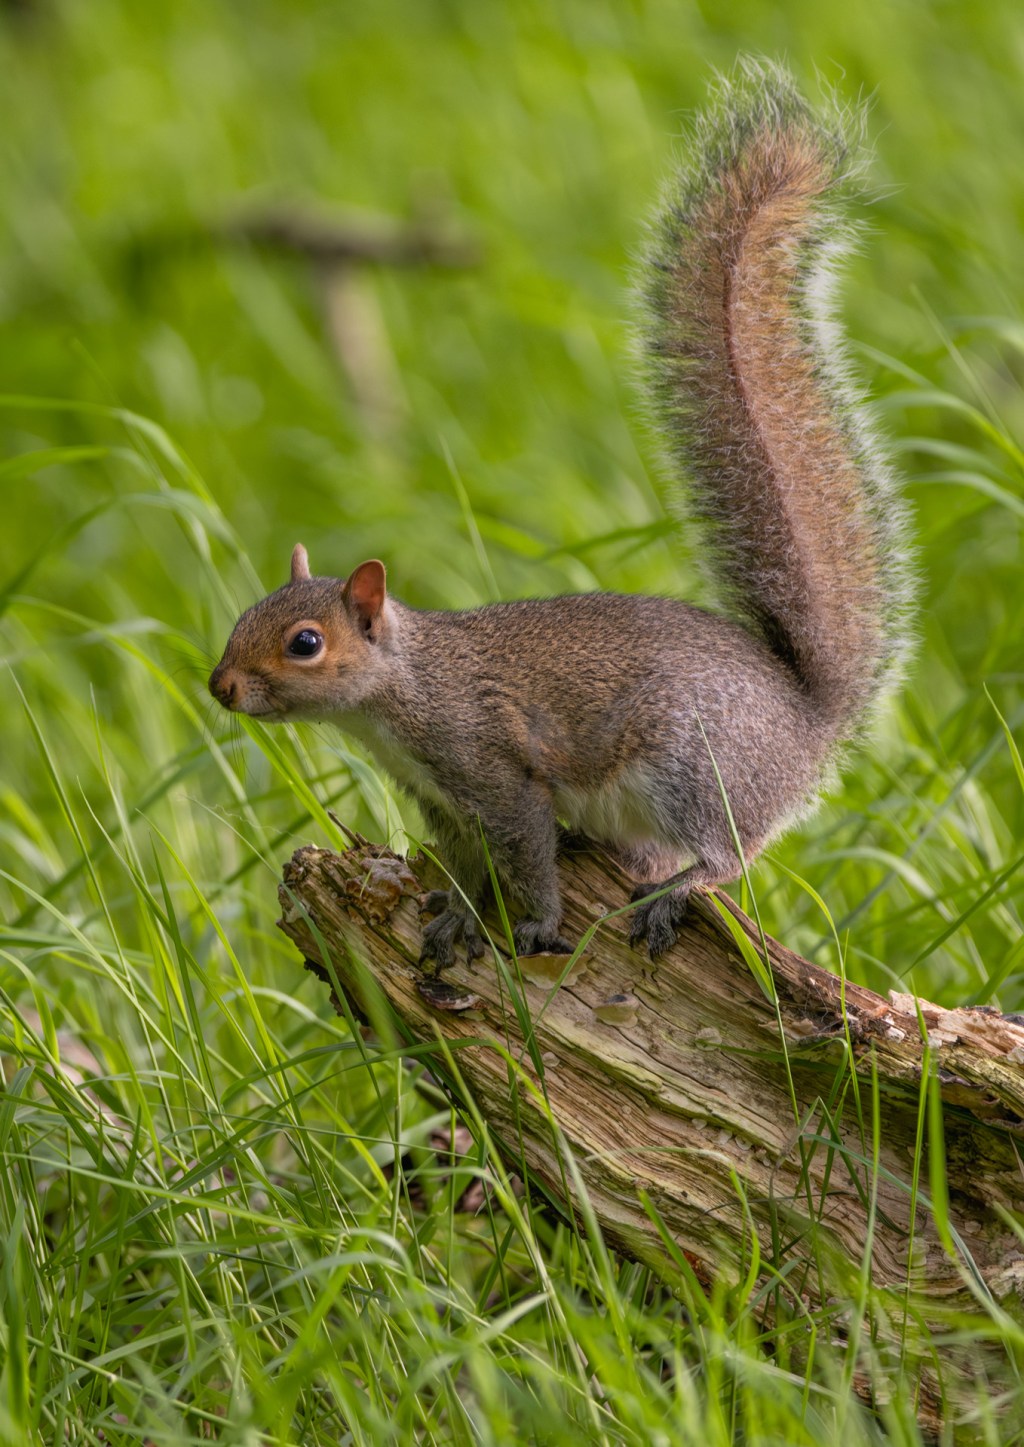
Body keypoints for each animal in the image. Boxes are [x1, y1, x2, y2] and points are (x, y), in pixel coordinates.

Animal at [208, 61, 914, 968]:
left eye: (305, 643)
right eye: (247, 611)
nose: (222, 686)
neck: (404, 691)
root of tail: (807, 725)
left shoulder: (496, 770)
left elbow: (528, 855)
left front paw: (538, 921)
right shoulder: (442, 802)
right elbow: (471, 868)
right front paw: (456, 914)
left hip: (690, 765)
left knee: (732, 849)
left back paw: (680, 889)